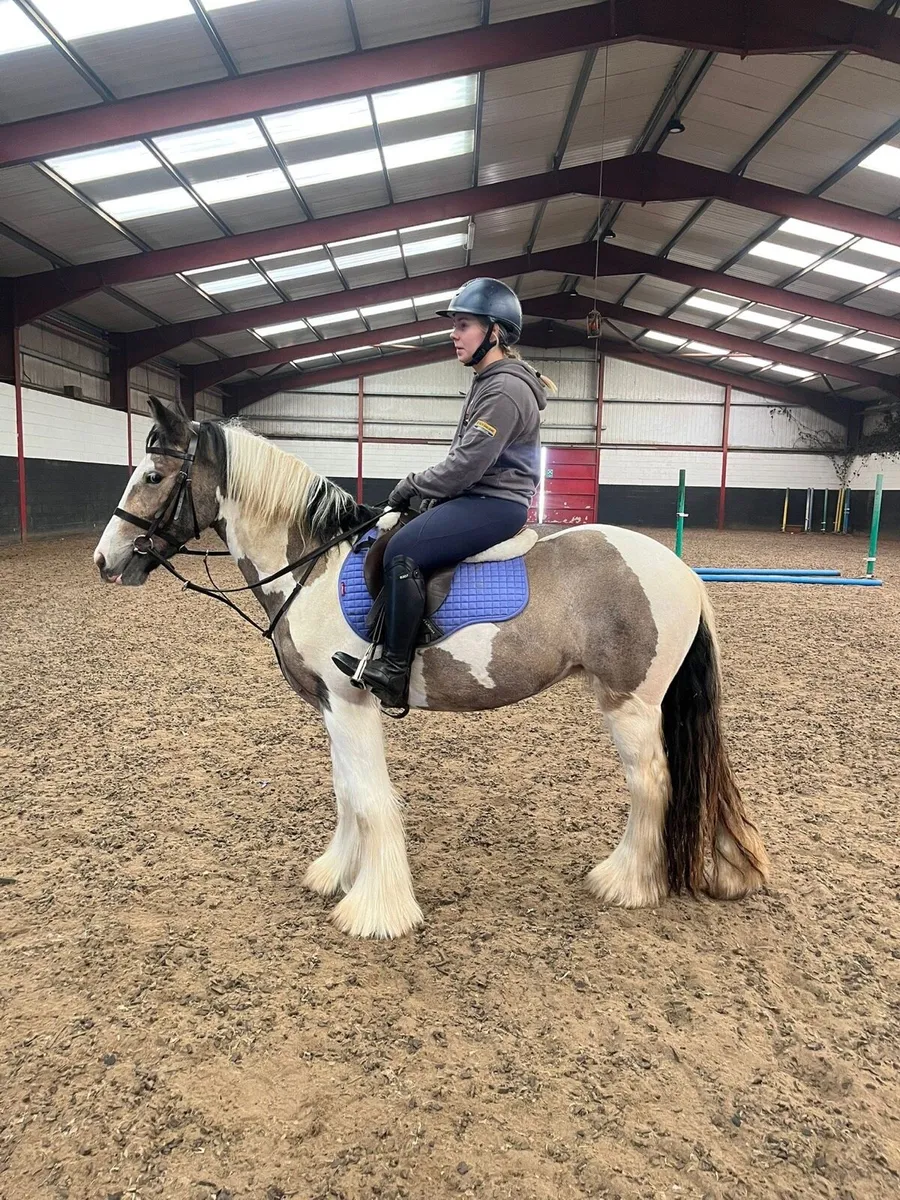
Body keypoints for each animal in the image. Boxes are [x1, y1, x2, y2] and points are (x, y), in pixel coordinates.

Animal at [93, 398, 769, 939]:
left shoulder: (351, 701)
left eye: (153, 475)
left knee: (651, 782)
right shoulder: (330, 706)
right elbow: (346, 791)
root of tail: (684, 573)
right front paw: (335, 874)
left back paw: (624, 882)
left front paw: (375, 910)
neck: (313, 567)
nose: (105, 560)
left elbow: (370, 800)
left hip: (630, 704)